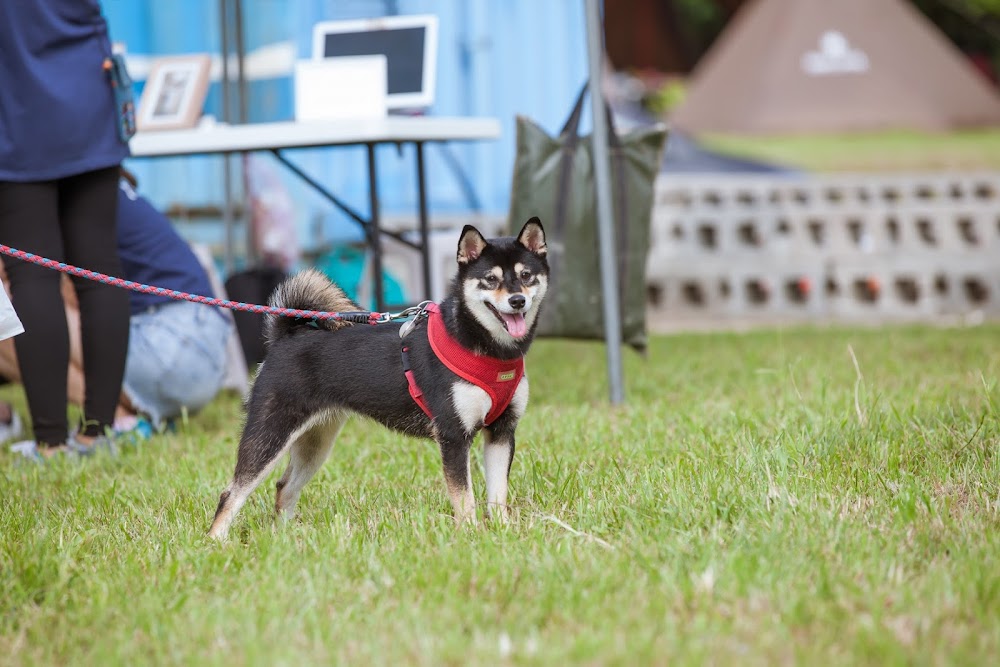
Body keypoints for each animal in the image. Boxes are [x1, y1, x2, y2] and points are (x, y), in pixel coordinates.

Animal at [209, 217, 548, 540]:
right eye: (490, 279)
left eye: (526, 276)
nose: (517, 300)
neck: (489, 351)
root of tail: (285, 337)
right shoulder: (453, 436)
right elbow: (464, 498)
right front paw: (470, 535)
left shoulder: (501, 432)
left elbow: (497, 495)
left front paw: (503, 531)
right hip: (270, 435)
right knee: (231, 493)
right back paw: (216, 542)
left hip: (315, 443)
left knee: (284, 487)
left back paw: (285, 538)